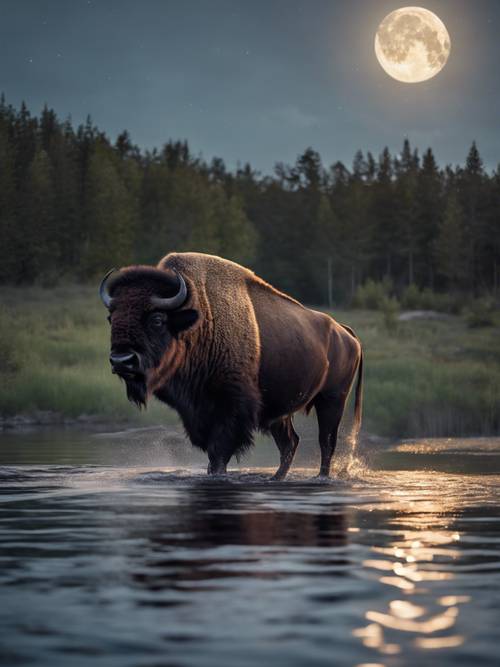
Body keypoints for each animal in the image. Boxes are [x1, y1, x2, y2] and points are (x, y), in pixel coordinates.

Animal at [98, 252, 364, 480]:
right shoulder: (196, 412)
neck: (200, 321)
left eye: (157, 319)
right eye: (112, 318)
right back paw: (275, 479)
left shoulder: (231, 409)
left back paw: (320, 477)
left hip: (332, 399)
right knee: (291, 443)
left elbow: (219, 454)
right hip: (281, 414)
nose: (121, 360)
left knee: (326, 442)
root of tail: (344, 332)